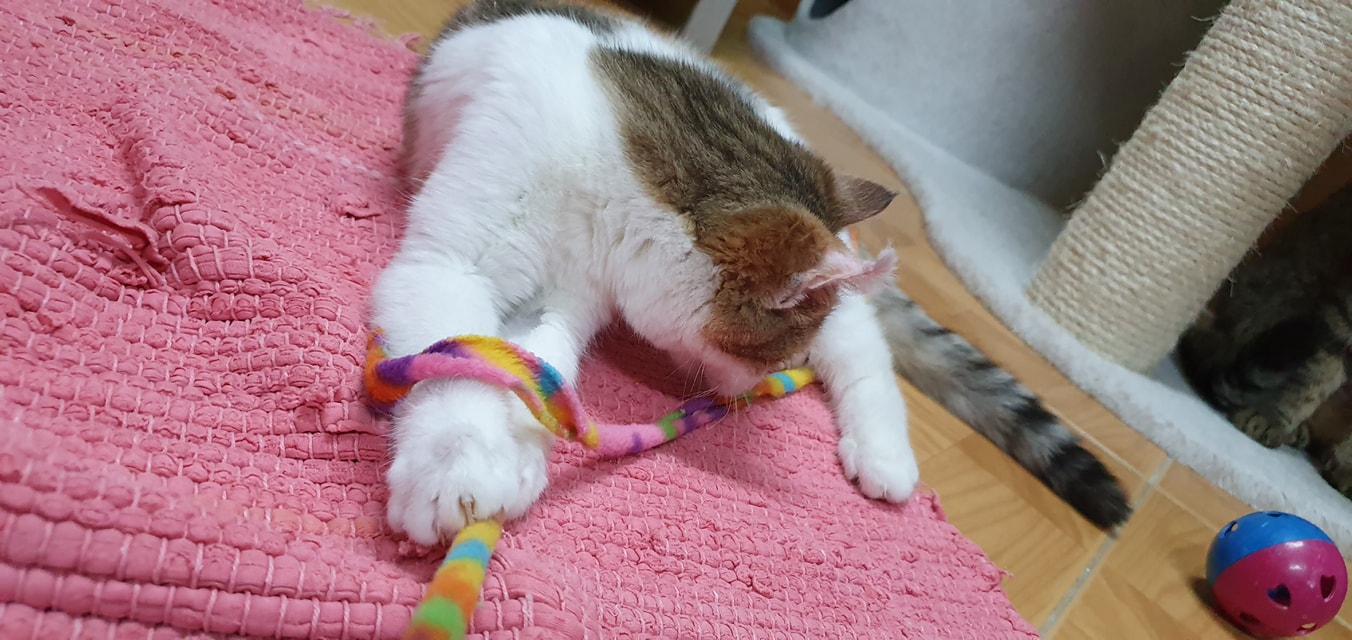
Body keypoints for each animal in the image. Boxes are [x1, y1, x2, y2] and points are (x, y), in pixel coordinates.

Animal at [372, 0, 1130, 546]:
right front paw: (468, 466)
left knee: (866, 352)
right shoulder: (459, 267)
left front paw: (506, 461)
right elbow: (485, 361)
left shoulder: (574, 288)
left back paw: (884, 454)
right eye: (774, 351)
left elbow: (534, 364)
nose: (761, 385)